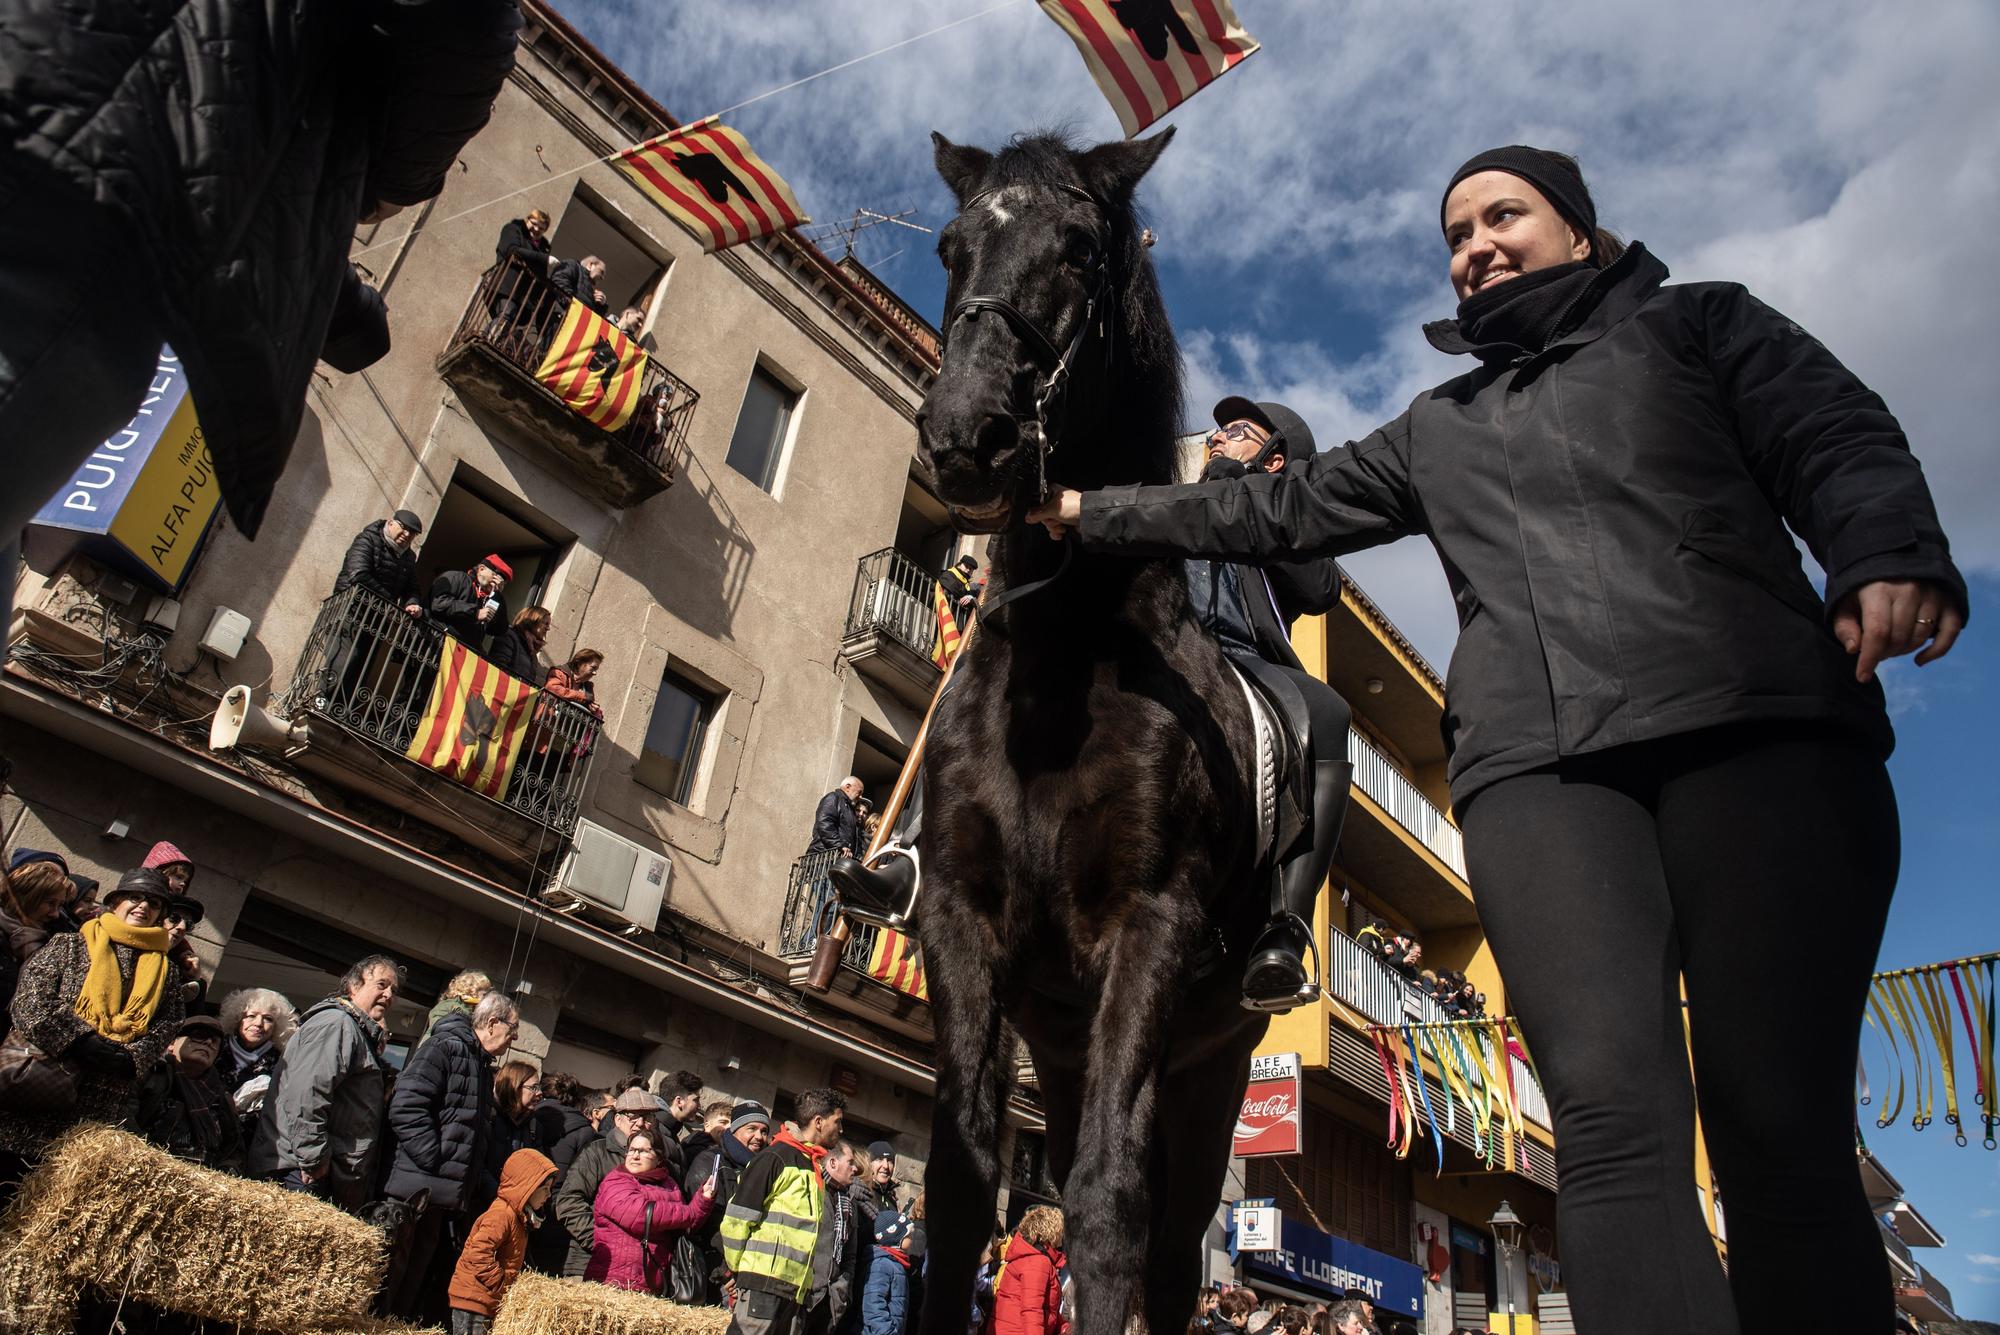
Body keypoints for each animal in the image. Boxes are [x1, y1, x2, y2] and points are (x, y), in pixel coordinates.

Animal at [916, 129, 1272, 1335]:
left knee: (1167, 1247)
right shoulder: (960, 919)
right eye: (950, 244)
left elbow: (1110, 1200)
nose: (965, 437)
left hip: (1211, 1068)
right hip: (1065, 1046)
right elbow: (963, 1178)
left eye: (1078, 248)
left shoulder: (1147, 928)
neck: (1062, 659)